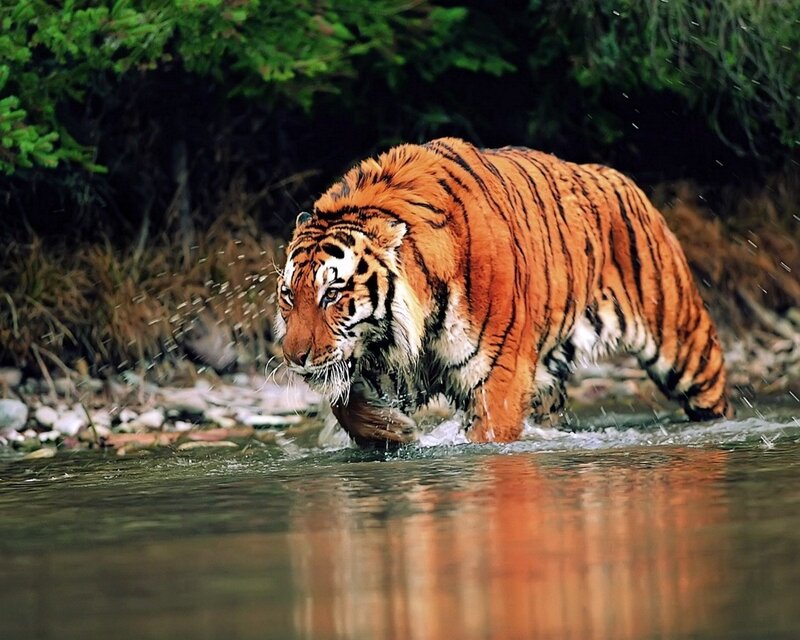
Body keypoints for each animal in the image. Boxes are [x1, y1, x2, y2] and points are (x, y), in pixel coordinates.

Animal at [275, 138, 732, 446]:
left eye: (332, 295)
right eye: (289, 296)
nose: (294, 358)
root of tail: (620, 178)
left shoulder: (499, 378)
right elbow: (345, 404)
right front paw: (394, 432)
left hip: (684, 345)